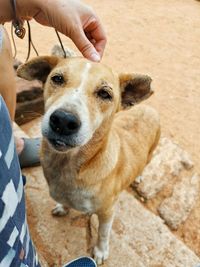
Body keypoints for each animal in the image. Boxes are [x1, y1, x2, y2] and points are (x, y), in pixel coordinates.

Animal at [17, 56, 161, 266]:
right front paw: (63, 207)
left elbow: (102, 233)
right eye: (57, 78)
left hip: (151, 153)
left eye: (104, 93)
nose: (63, 121)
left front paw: (100, 252)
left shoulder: (107, 211)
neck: (68, 167)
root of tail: (149, 107)